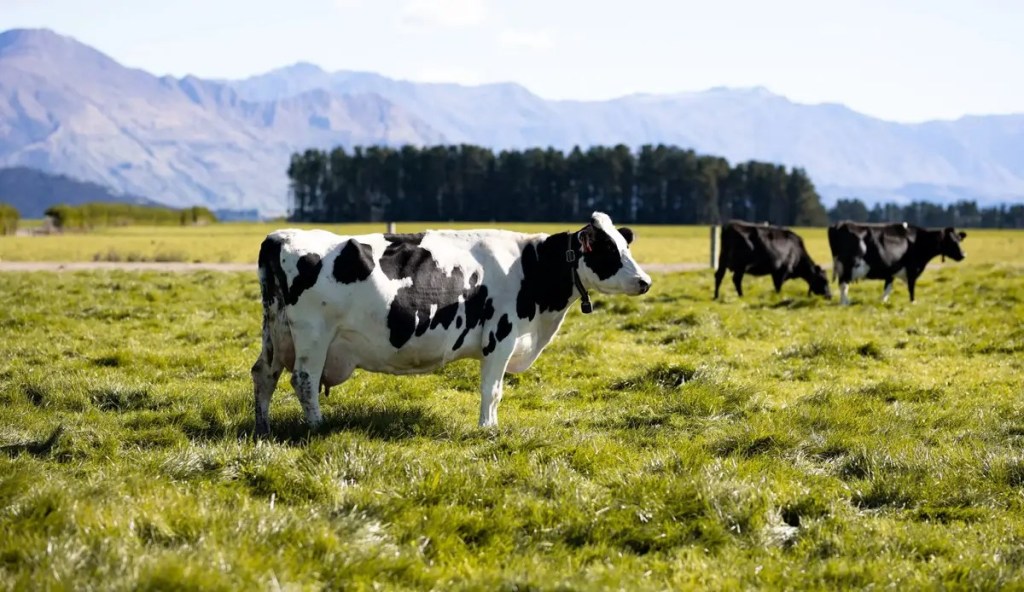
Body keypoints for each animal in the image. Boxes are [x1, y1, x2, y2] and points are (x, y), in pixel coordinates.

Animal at [248, 212, 651, 434]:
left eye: (625, 246)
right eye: (608, 250)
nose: (645, 281)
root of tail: (280, 237)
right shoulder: (501, 337)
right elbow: (493, 390)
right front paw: (488, 429)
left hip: (275, 332)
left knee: (264, 374)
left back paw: (263, 428)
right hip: (314, 335)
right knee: (304, 380)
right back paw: (317, 426)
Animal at [823, 220, 966, 303]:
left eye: (959, 239)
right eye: (951, 241)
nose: (963, 255)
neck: (919, 240)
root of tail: (841, 224)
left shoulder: (891, 270)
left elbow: (888, 288)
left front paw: (883, 302)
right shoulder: (912, 269)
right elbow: (911, 288)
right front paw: (912, 302)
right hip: (849, 265)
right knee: (843, 284)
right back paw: (845, 303)